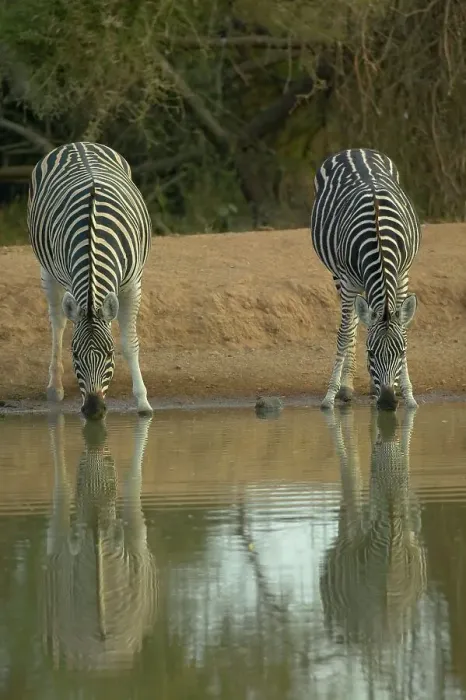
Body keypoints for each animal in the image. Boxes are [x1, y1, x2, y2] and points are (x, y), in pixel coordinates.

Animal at [28, 141, 153, 419]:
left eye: (109, 353)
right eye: (74, 354)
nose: (94, 410)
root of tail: (78, 144)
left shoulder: (133, 285)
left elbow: (131, 343)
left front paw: (142, 402)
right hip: (47, 271)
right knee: (58, 323)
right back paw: (55, 387)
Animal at [310, 148, 421, 411]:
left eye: (401, 352)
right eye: (370, 353)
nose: (389, 403)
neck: (379, 239)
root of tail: (355, 150)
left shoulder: (402, 275)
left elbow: (403, 327)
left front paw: (408, 393)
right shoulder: (349, 283)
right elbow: (344, 336)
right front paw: (330, 395)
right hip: (338, 277)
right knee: (351, 323)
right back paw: (346, 385)